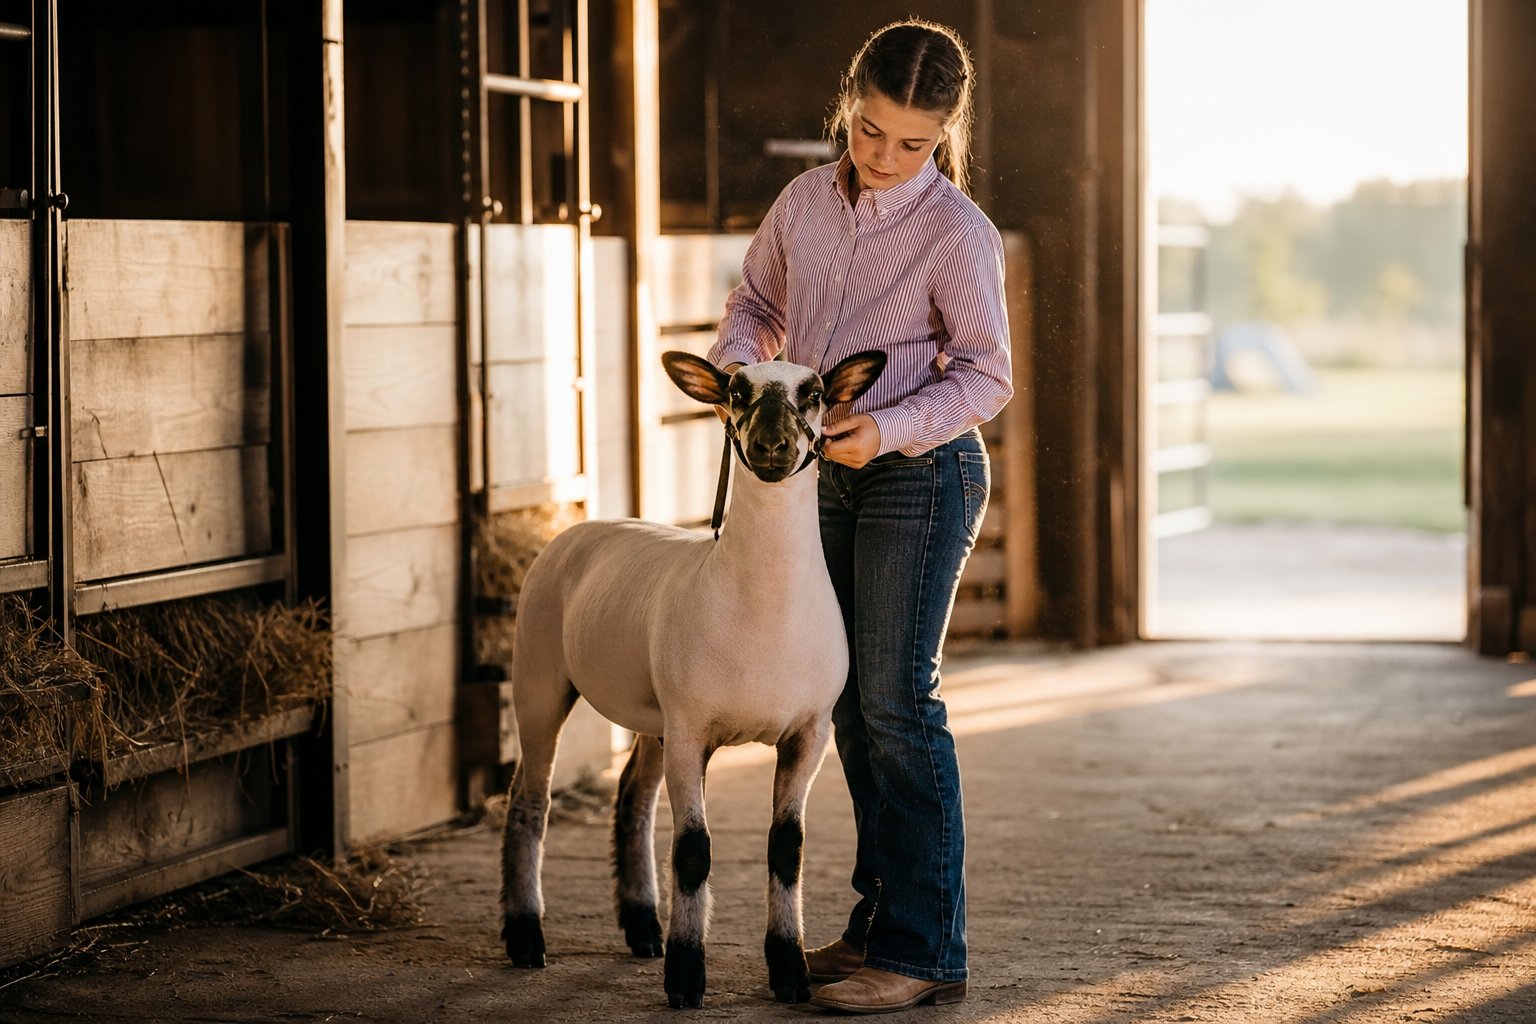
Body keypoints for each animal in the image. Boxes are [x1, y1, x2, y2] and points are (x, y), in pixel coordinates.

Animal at [499, 349, 887, 1008]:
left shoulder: (808, 735)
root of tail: (582, 525)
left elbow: (787, 849)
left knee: (632, 798)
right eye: (735, 391)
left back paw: (642, 928)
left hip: (650, 715)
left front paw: (789, 971)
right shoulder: (691, 732)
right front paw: (686, 977)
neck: (763, 610)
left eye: (812, 393)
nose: (771, 445)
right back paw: (526, 937)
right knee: (530, 800)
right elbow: (693, 852)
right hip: (540, 680)